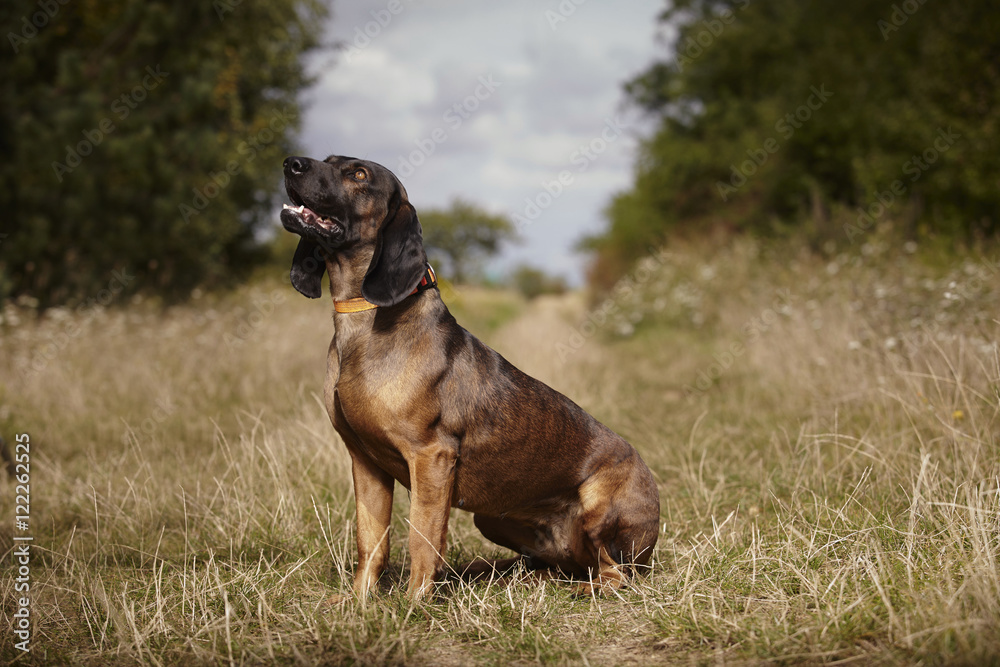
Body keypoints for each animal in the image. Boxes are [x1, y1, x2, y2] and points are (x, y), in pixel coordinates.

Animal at [278, 155, 660, 600]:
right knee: (555, 565)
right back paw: (508, 576)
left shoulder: (431, 457)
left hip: (600, 509)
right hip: (492, 517)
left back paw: (583, 587)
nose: (292, 163)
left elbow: (422, 537)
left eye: (359, 174)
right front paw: (359, 601)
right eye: (328, 160)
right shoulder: (365, 462)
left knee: (615, 573)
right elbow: (370, 541)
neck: (362, 321)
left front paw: (414, 602)